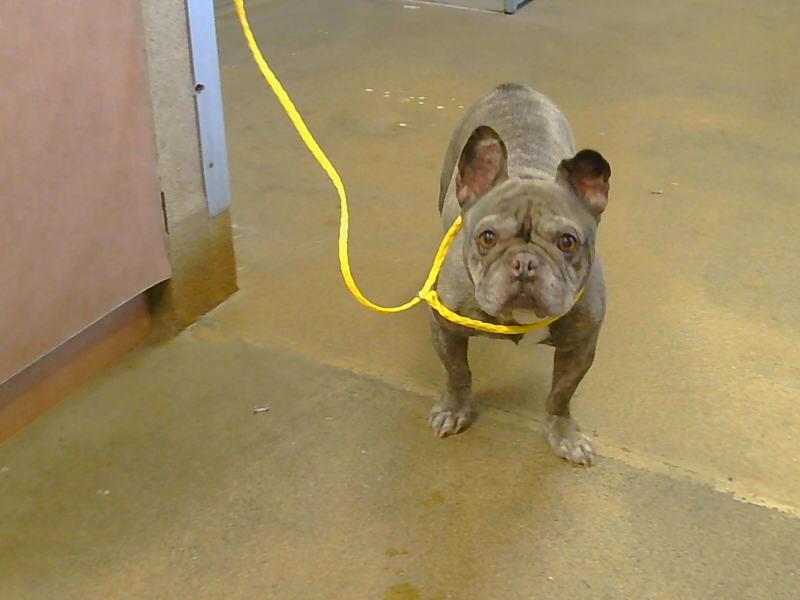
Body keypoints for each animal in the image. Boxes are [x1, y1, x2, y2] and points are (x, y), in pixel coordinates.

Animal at [430, 83, 610, 466]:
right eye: (487, 238)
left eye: (568, 241)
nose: (524, 263)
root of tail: (513, 87)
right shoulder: (445, 327)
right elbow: (457, 372)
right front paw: (454, 409)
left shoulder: (581, 345)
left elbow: (561, 393)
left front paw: (564, 433)